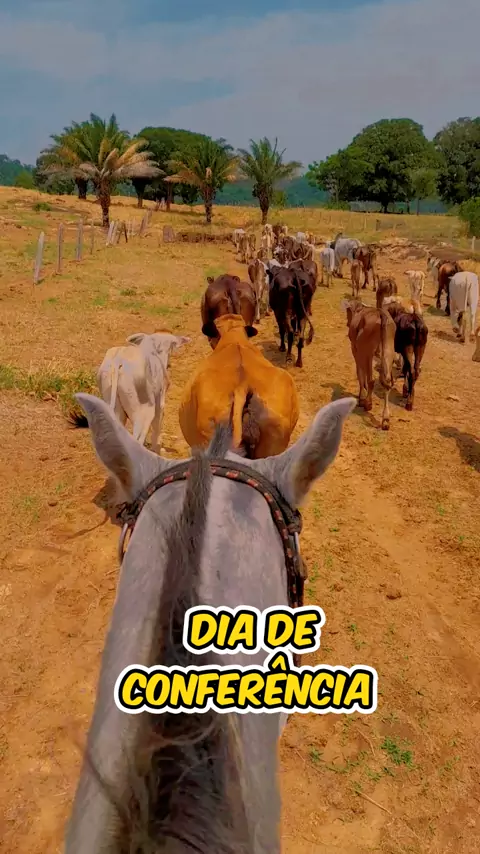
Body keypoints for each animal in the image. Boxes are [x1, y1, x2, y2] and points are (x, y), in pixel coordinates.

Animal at [342, 300, 396, 430]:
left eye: (348, 311)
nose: (347, 322)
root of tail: (381, 314)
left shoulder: (355, 350)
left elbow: (360, 373)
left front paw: (362, 397)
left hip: (368, 352)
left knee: (371, 380)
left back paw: (368, 404)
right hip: (388, 352)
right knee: (387, 382)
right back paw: (385, 419)